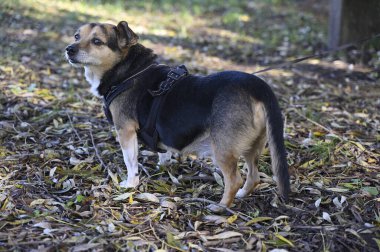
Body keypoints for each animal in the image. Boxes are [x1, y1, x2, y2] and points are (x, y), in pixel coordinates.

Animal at [66, 21, 290, 211]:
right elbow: (163, 152)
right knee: (253, 177)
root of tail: (257, 87)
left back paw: (221, 207)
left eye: (97, 41)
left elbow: (130, 162)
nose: (69, 49)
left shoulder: (125, 130)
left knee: (234, 180)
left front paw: (130, 185)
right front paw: (163, 165)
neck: (129, 72)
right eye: (77, 36)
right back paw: (242, 195)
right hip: (253, 146)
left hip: (223, 149)